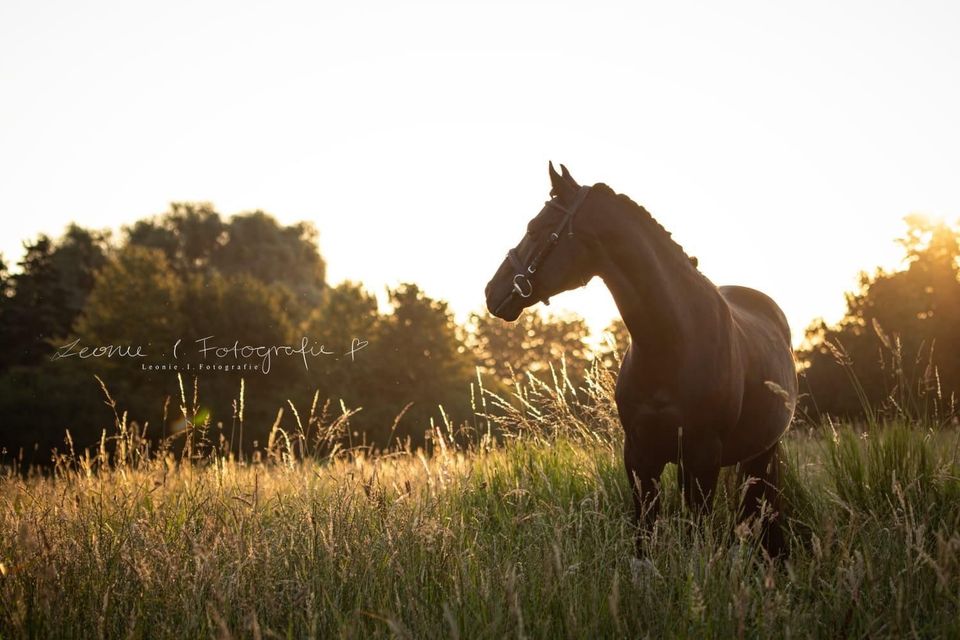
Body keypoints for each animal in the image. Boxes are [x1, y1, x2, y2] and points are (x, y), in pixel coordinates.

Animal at [484, 162, 800, 556]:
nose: (492, 291)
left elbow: (695, 534)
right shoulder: (639, 456)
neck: (672, 344)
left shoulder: (703, 458)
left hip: (763, 453)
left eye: (535, 228)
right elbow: (645, 536)